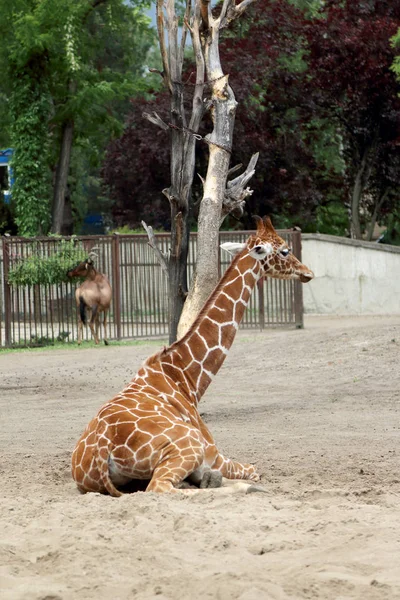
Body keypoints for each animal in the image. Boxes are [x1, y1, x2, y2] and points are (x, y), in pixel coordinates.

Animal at [72, 217, 316, 496]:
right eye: (285, 250)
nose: (308, 272)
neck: (186, 377)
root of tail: (103, 448)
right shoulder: (214, 455)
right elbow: (254, 470)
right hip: (190, 447)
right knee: (161, 487)